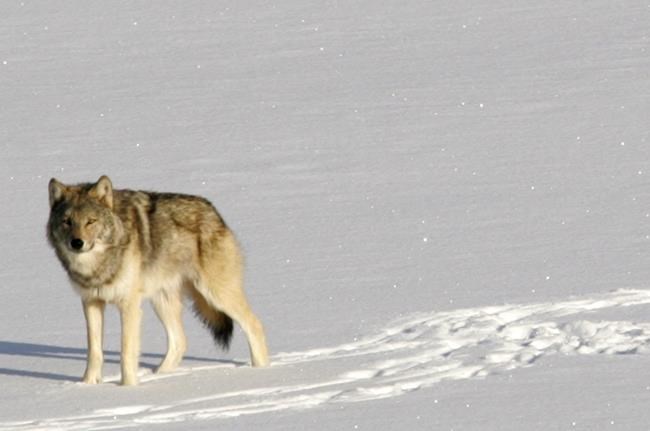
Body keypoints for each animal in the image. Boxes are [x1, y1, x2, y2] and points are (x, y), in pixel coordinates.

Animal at [47, 175, 269, 385]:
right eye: (67, 221)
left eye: (90, 221)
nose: (77, 243)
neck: (97, 265)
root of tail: (214, 212)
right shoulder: (91, 302)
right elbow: (94, 351)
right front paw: (88, 385)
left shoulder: (129, 306)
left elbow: (126, 351)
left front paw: (128, 387)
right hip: (162, 301)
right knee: (180, 341)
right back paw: (159, 375)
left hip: (216, 295)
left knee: (255, 324)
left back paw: (261, 370)